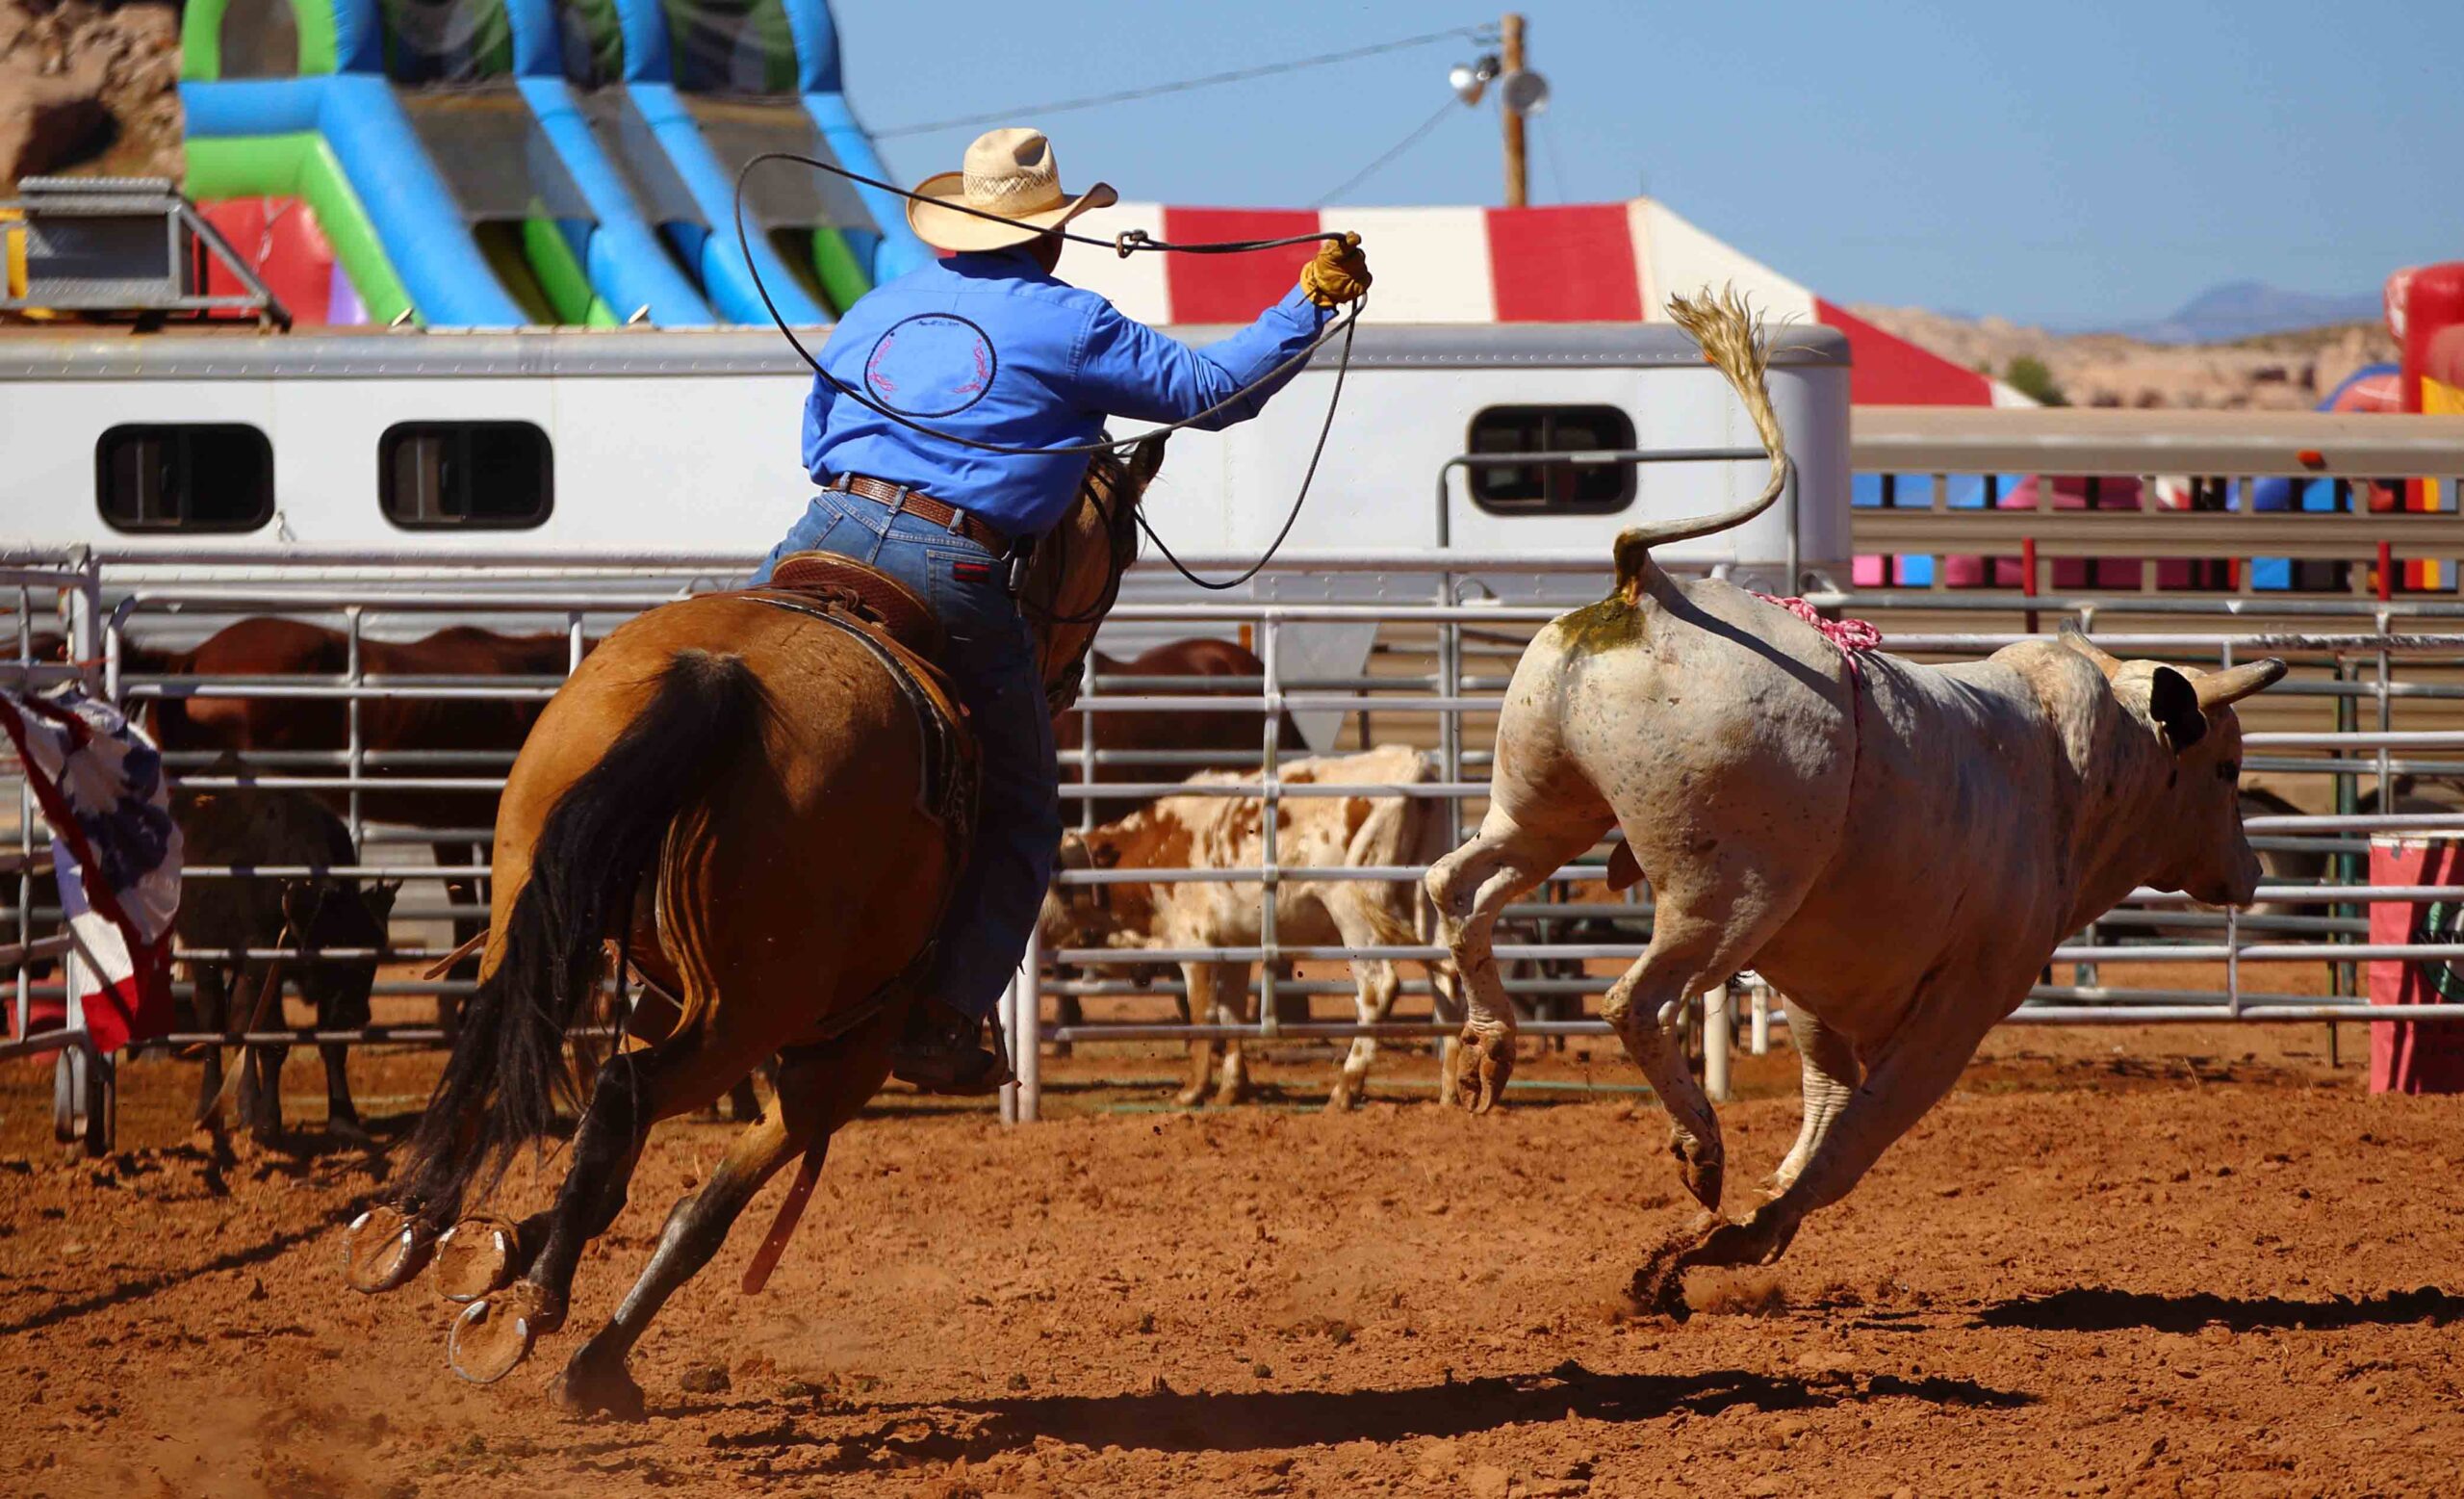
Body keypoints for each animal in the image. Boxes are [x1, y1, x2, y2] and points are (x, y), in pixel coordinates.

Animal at [340, 436, 1172, 1420]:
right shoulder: (837, 1064)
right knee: (621, 1089)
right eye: (1120, 553)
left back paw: (408, 1228)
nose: (1067, 679)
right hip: (749, 1018)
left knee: (496, 1049)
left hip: (541, 919)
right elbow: (701, 1213)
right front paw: (591, 1359)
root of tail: (721, 677)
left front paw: (498, 1249)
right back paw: (531, 1306)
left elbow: (618, 1187)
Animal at [1428, 283, 2286, 1311]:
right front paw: (1730, 1239)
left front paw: (1748, 1228)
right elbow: (1853, 1138)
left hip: (1545, 803)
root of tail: (1652, 588)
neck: (2070, 772)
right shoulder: (1962, 1004)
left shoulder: (1818, 991)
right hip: (1725, 899)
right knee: (1638, 999)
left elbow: (1826, 1106)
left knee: (1459, 885)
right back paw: (1698, 1144)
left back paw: (1485, 1047)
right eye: (2227, 769)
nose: (2250, 871)